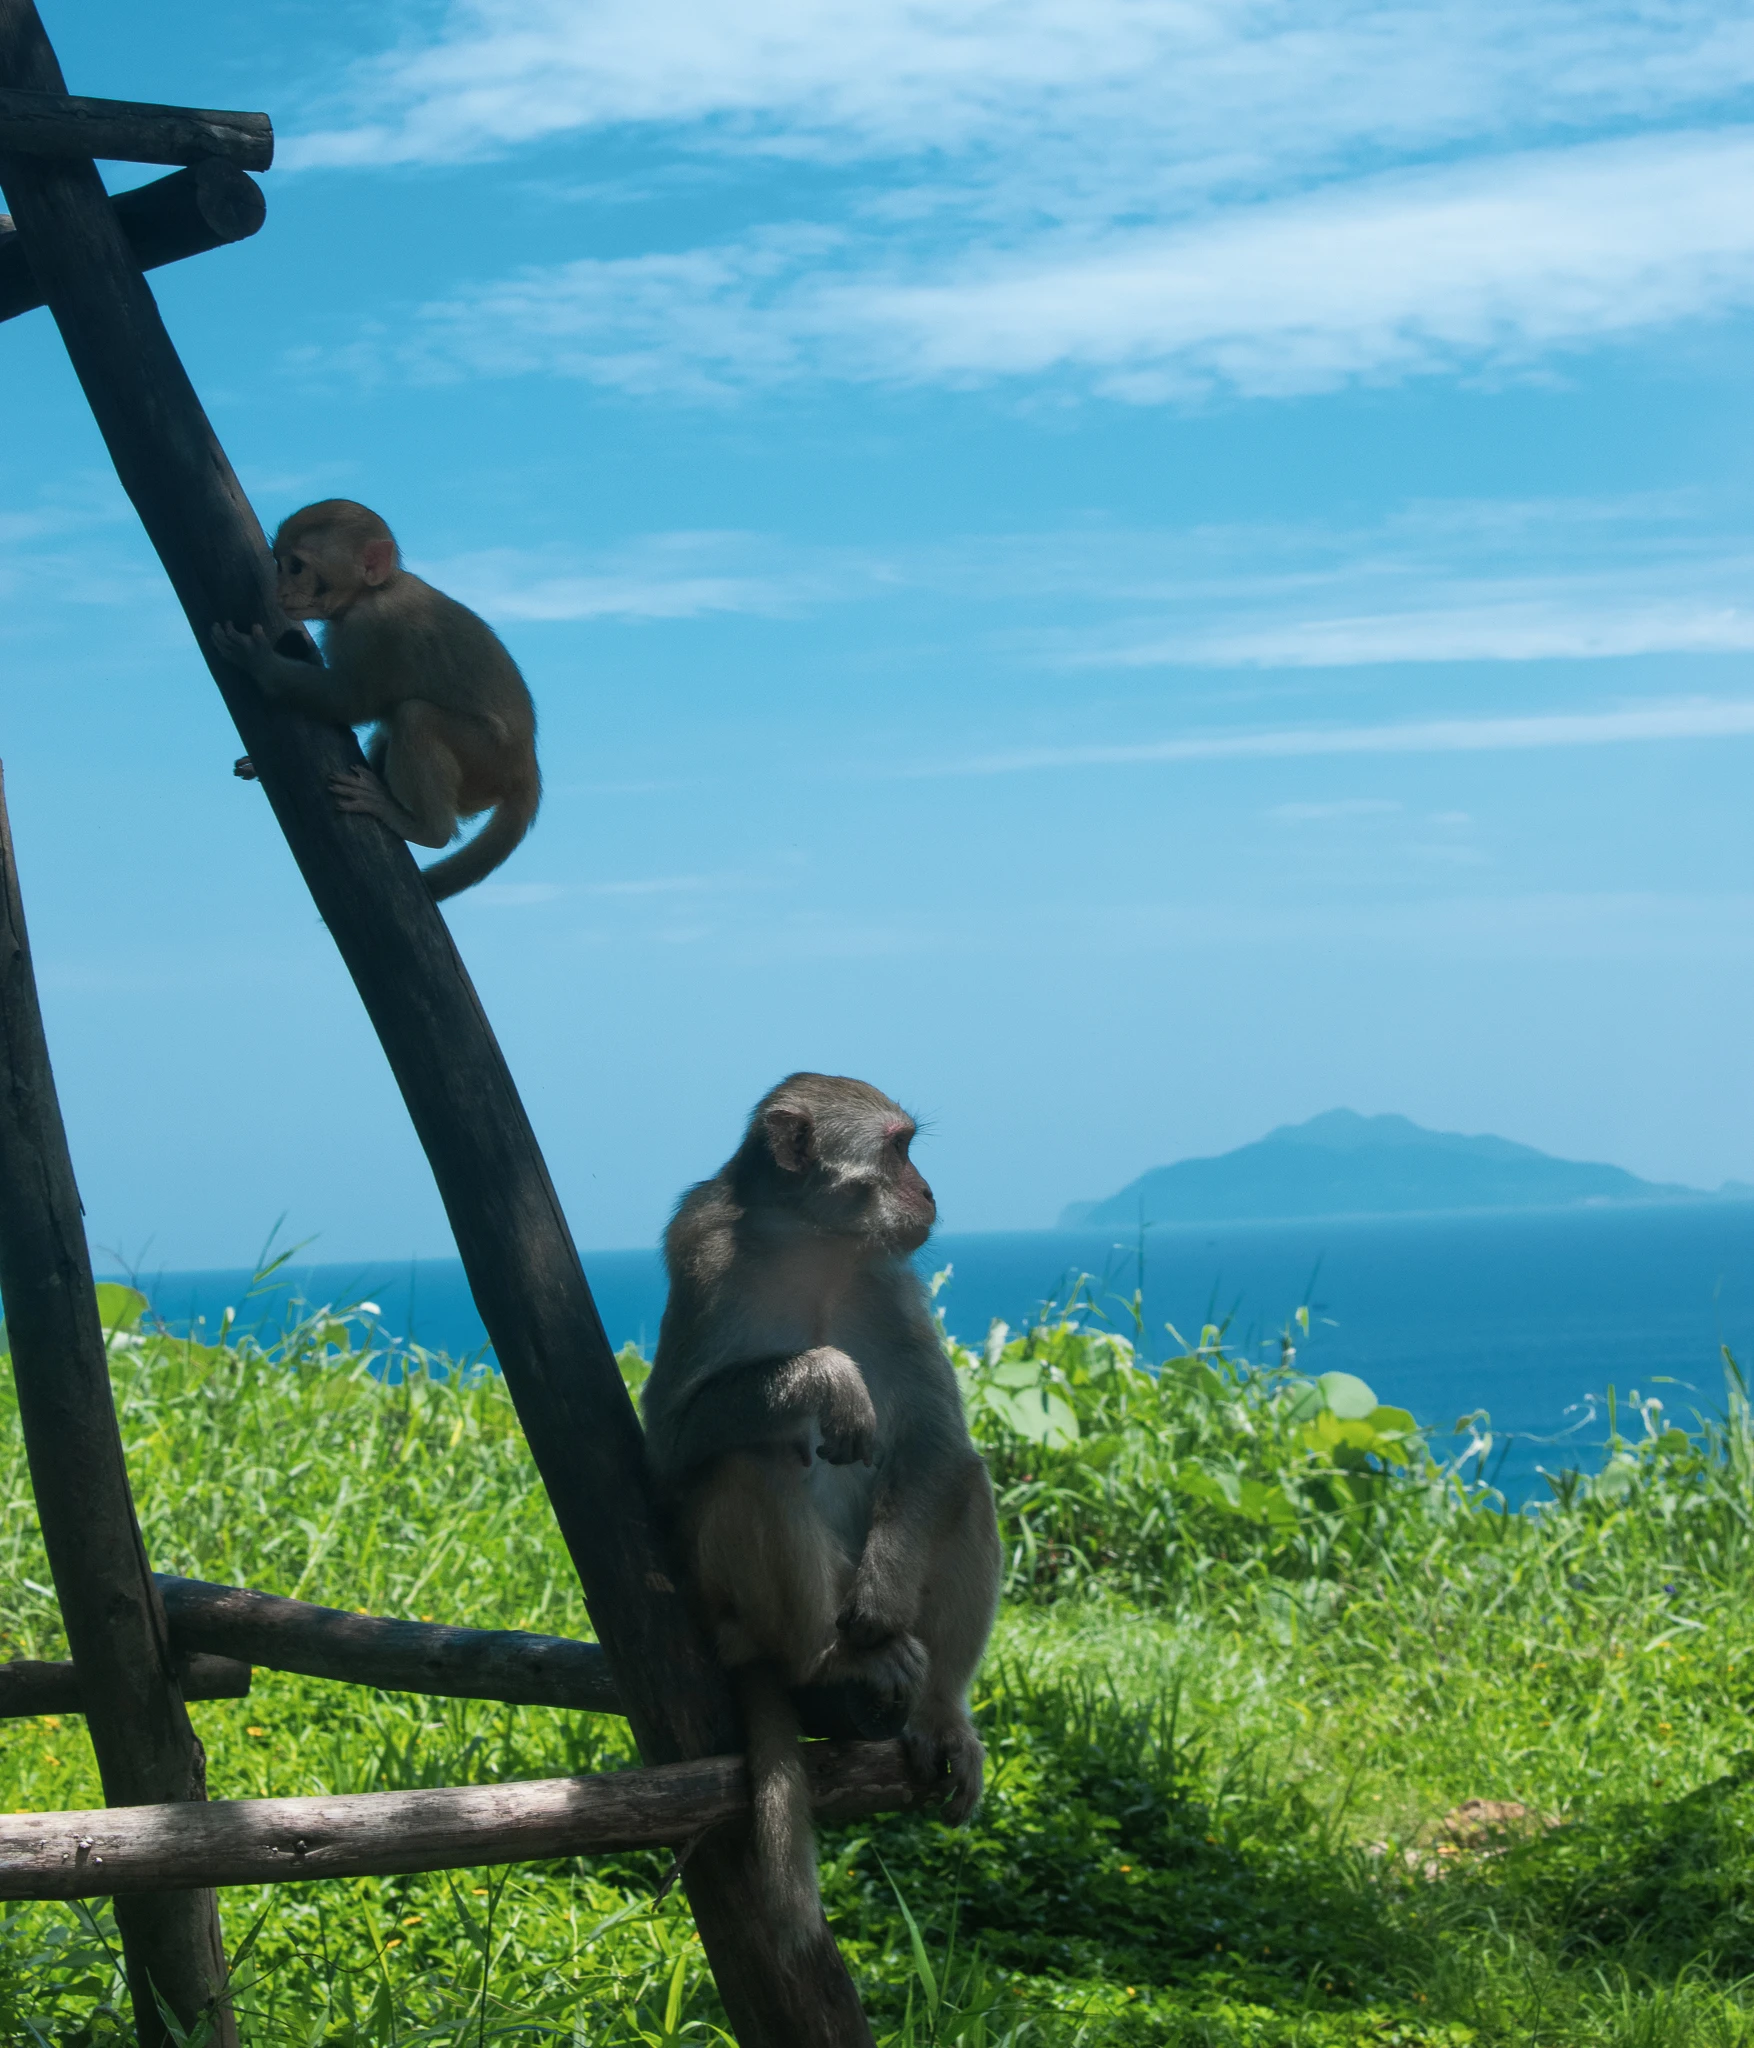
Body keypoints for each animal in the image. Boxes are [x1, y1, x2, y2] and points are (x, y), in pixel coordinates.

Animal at [211, 500, 540, 901]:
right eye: (279, 563)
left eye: (296, 567)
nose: (280, 591)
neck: (372, 592)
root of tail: (525, 769)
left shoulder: (370, 631)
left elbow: (349, 702)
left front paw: (259, 662)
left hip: (486, 762)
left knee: (415, 717)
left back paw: (427, 829)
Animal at [643, 1073, 1001, 1957]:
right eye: (901, 1150)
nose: (928, 1191)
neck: (812, 1244)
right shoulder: (703, 1256)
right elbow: (670, 1444)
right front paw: (825, 1376)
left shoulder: (893, 1280)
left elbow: (939, 1439)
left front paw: (883, 1599)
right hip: (734, 1611)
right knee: (751, 1462)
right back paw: (828, 1662)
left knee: (964, 1481)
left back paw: (939, 1709)